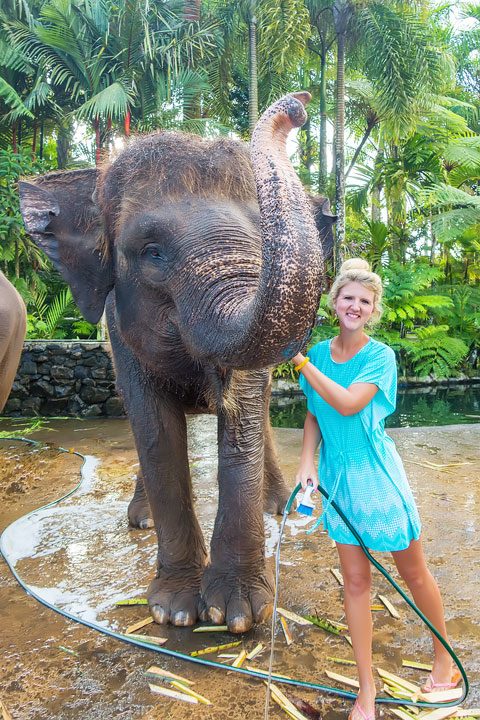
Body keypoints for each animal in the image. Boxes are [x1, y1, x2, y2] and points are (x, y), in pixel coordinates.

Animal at [18, 93, 334, 632]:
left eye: (263, 243)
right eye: (152, 252)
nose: (298, 106)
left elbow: (244, 419)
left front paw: (237, 615)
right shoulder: (119, 327)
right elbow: (155, 430)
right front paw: (176, 612)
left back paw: (275, 506)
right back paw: (141, 519)